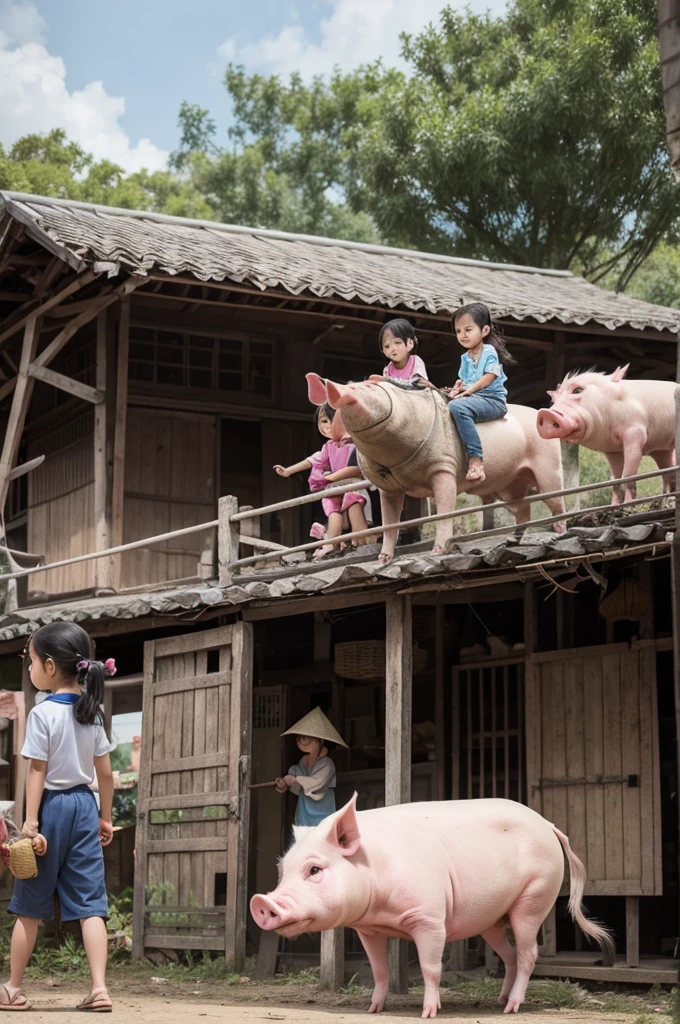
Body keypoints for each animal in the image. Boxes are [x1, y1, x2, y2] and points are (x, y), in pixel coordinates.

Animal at [251, 794, 614, 1019]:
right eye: (282, 869)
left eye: (314, 870)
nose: (261, 901)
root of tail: (549, 825)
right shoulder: (368, 929)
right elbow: (379, 970)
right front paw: (373, 1009)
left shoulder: (429, 917)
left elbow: (430, 968)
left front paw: (428, 1013)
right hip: (493, 921)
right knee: (509, 955)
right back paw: (499, 1000)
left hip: (536, 895)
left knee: (528, 954)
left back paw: (511, 1008)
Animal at [307, 374, 561, 565]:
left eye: (368, 387)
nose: (335, 391)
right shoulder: (387, 486)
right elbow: (390, 522)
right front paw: (383, 559)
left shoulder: (444, 466)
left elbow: (445, 509)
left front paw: (437, 551)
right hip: (509, 484)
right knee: (522, 507)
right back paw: (512, 542)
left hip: (548, 460)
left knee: (554, 498)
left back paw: (558, 533)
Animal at [536, 368, 675, 503]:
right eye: (554, 400)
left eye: (577, 390)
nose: (544, 413)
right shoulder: (612, 450)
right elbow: (616, 480)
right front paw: (614, 505)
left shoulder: (635, 432)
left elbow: (628, 475)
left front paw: (629, 505)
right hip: (660, 449)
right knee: (667, 471)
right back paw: (664, 499)